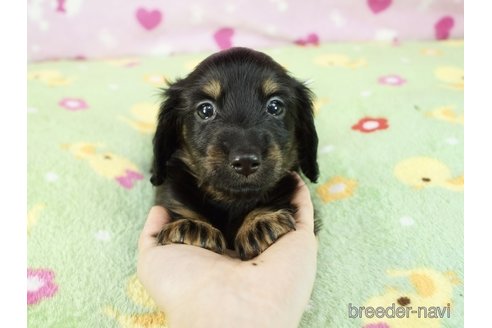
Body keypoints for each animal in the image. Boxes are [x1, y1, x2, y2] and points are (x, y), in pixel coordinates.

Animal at [150, 47, 320, 260]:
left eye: (275, 106)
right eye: (205, 109)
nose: (245, 161)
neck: (231, 200)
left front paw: (261, 221)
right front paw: (194, 227)